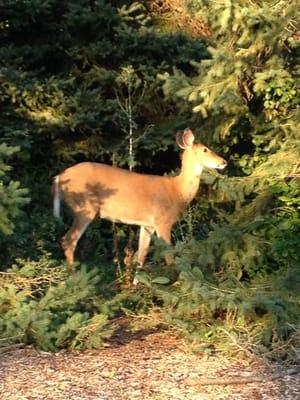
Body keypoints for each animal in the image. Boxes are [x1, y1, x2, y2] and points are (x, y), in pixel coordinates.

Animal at [52, 128, 225, 278]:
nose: (224, 162)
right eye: (205, 149)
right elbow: (168, 255)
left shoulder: (147, 225)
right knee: (68, 240)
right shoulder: (163, 221)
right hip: (84, 207)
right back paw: (75, 278)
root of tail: (59, 177)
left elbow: (141, 256)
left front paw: (137, 283)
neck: (177, 191)